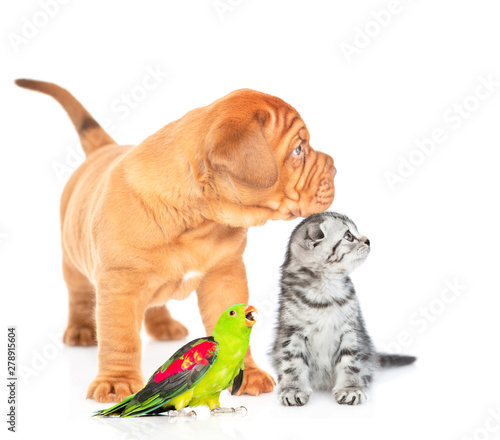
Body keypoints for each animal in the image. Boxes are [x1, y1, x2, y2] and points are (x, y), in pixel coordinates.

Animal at [16, 79, 336, 402]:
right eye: (298, 149)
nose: (335, 165)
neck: (198, 219)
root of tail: (104, 148)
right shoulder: (120, 285)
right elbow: (121, 338)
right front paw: (117, 381)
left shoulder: (225, 276)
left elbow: (236, 328)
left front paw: (246, 374)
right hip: (72, 256)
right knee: (79, 294)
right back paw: (81, 328)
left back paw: (164, 325)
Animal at [272, 212, 416, 406]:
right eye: (348, 236)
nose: (368, 240)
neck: (325, 290)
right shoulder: (292, 331)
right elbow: (292, 362)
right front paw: (293, 389)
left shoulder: (350, 330)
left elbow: (350, 362)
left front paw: (351, 388)